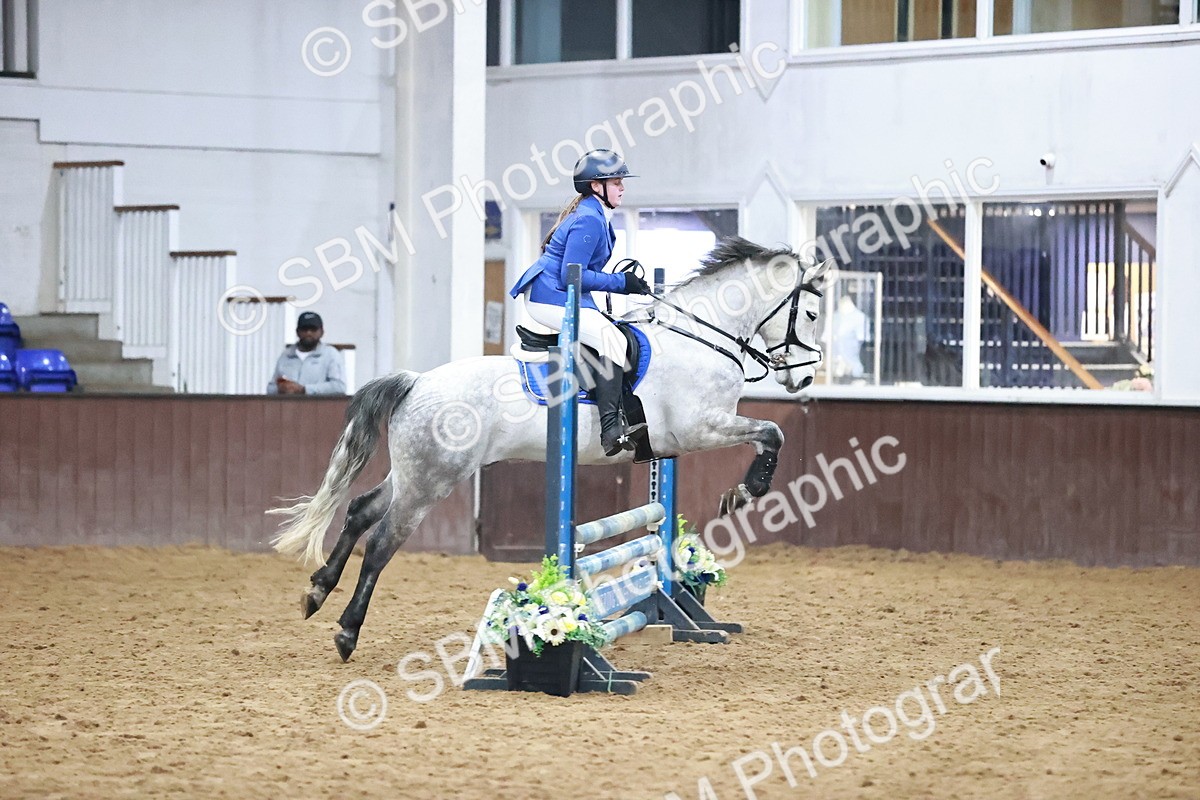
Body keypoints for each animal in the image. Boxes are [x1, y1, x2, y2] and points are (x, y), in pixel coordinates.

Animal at [269, 237, 831, 661]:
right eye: (810, 312)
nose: (805, 378)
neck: (696, 339)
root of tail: (416, 382)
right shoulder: (699, 429)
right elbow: (772, 432)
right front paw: (746, 491)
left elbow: (766, 435)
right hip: (433, 479)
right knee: (383, 541)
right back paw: (347, 631)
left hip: (415, 472)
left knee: (361, 510)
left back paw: (317, 591)